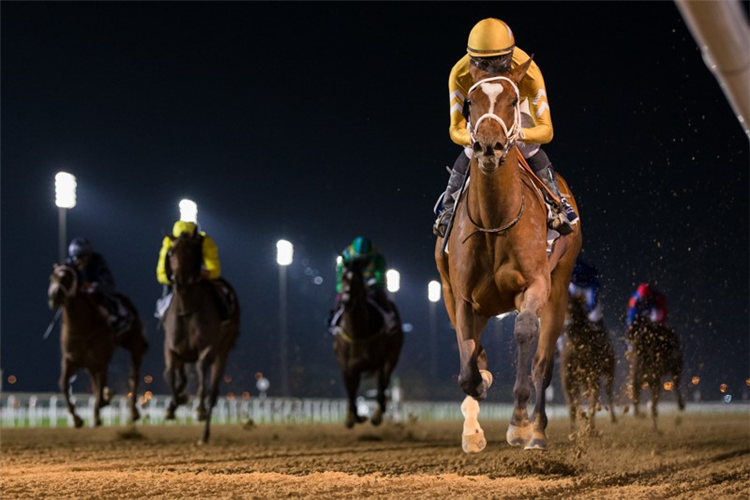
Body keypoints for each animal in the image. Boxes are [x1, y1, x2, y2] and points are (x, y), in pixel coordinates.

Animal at [47, 264, 149, 428]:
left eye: (67, 278)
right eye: (52, 277)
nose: (54, 297)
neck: (82, 328)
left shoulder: (101, 360)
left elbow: (100, 391)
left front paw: (105, 399)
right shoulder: (71, 360)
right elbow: (64, 384)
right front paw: (77, 419)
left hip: (134, 345)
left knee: (133, 376)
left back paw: (133, 412)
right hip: (90, 364)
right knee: (95, 383)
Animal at [162, 232, 241, 444]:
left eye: (191, 252)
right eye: (171, 253)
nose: (179, 280)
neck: (187, 309)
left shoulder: (208, 347)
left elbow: (200, 369)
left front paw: (199, 408)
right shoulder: (171, 349)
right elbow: (170, 374)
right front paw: (174, 404)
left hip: (223, 351)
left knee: (213, 392)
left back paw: (205, 434)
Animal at [334, 260, 406, 428]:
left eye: (357, 280)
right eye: (343, 278)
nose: (345, 300)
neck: (357, 332)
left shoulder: (382, 362)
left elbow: (381, 387)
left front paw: (375, 416)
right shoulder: (348, 367)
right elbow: (352, 393)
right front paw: (354, 417)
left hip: (392, 355)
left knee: (383, 385)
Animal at [432, 59, 584, 454]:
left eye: (514, 100)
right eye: (469, 102)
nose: (489, 146)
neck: (495, 221)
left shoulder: (536, 285)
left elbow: (525, 334)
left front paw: (518, 423)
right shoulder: (462, 296)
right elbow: (468, 365)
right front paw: (480, 390)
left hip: (559, 288)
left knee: (543, 363)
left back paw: (537, 429)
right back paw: (473, 428)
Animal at [564, 294, 616, 432]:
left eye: (574, 309)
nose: (566, 322)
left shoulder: (594, 376)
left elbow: (592, 402)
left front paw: (590, 428)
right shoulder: (568, 378)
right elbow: (574, 404)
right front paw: (573, 430)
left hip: (609, 371)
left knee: (608, 390)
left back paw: (612, 418)